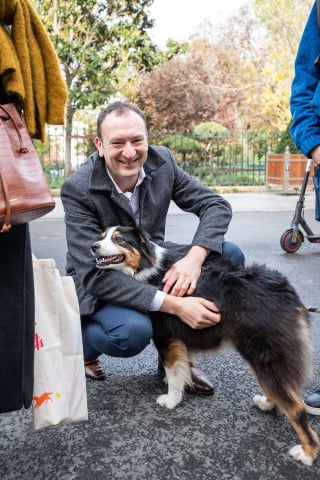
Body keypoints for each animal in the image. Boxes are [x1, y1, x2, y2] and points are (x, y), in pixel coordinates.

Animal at [91, 225, 318, 464]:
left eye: (119, 239)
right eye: (102, 237)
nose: (93, 246)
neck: (148, 266)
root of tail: (287, 292)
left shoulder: (166, 335)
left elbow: (173, 371)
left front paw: (171, 399)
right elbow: (182, 364)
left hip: (262, 354)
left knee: (295, 406)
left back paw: (306, 453)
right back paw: (267, 403)